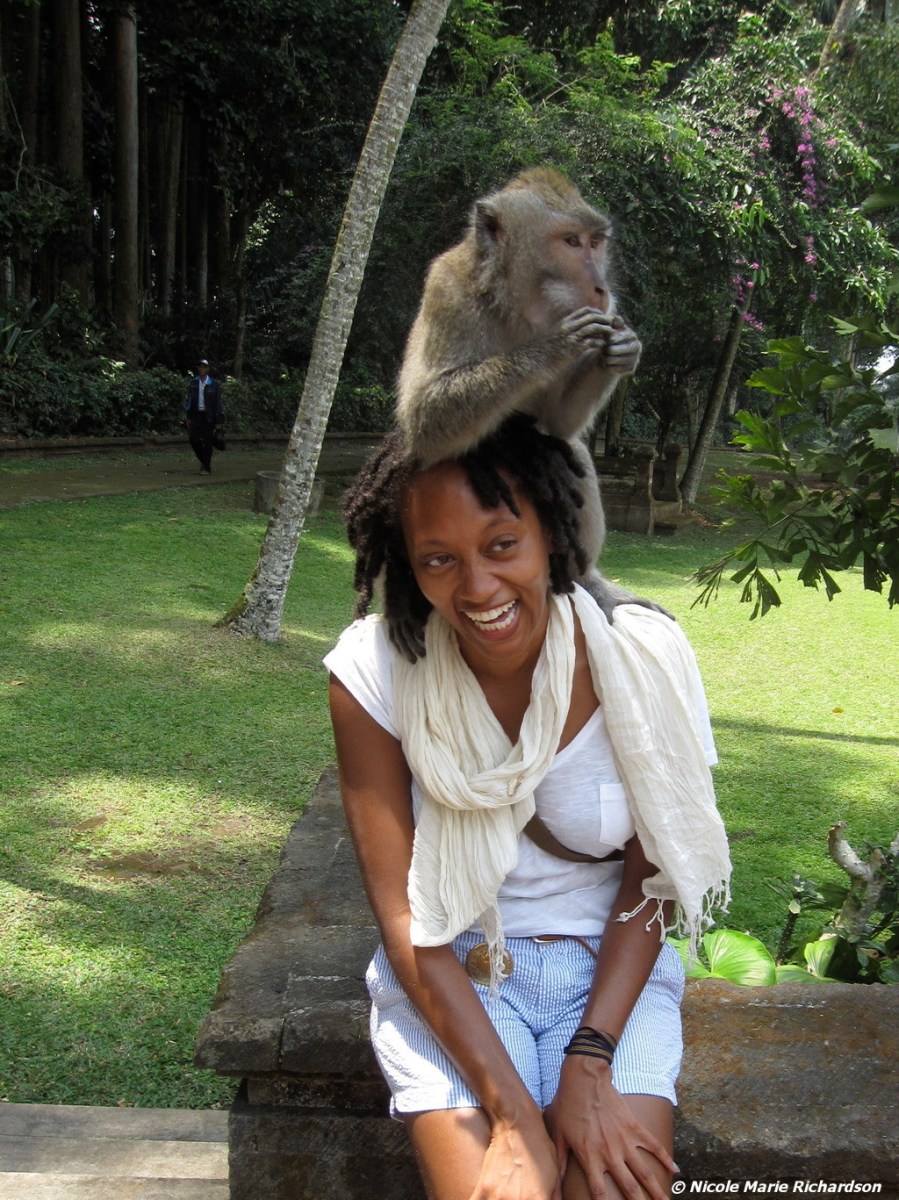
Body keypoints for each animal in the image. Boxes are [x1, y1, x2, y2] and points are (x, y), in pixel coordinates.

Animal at [395, 166, 652, 620]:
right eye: (571, 242)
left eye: (595, 242)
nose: (602, 289)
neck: (516, 304)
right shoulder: (448, 292)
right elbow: (424, 421)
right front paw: (553, 346)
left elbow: (557, 422)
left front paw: (623, 349)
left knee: (566, 450)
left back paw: (588, 582)